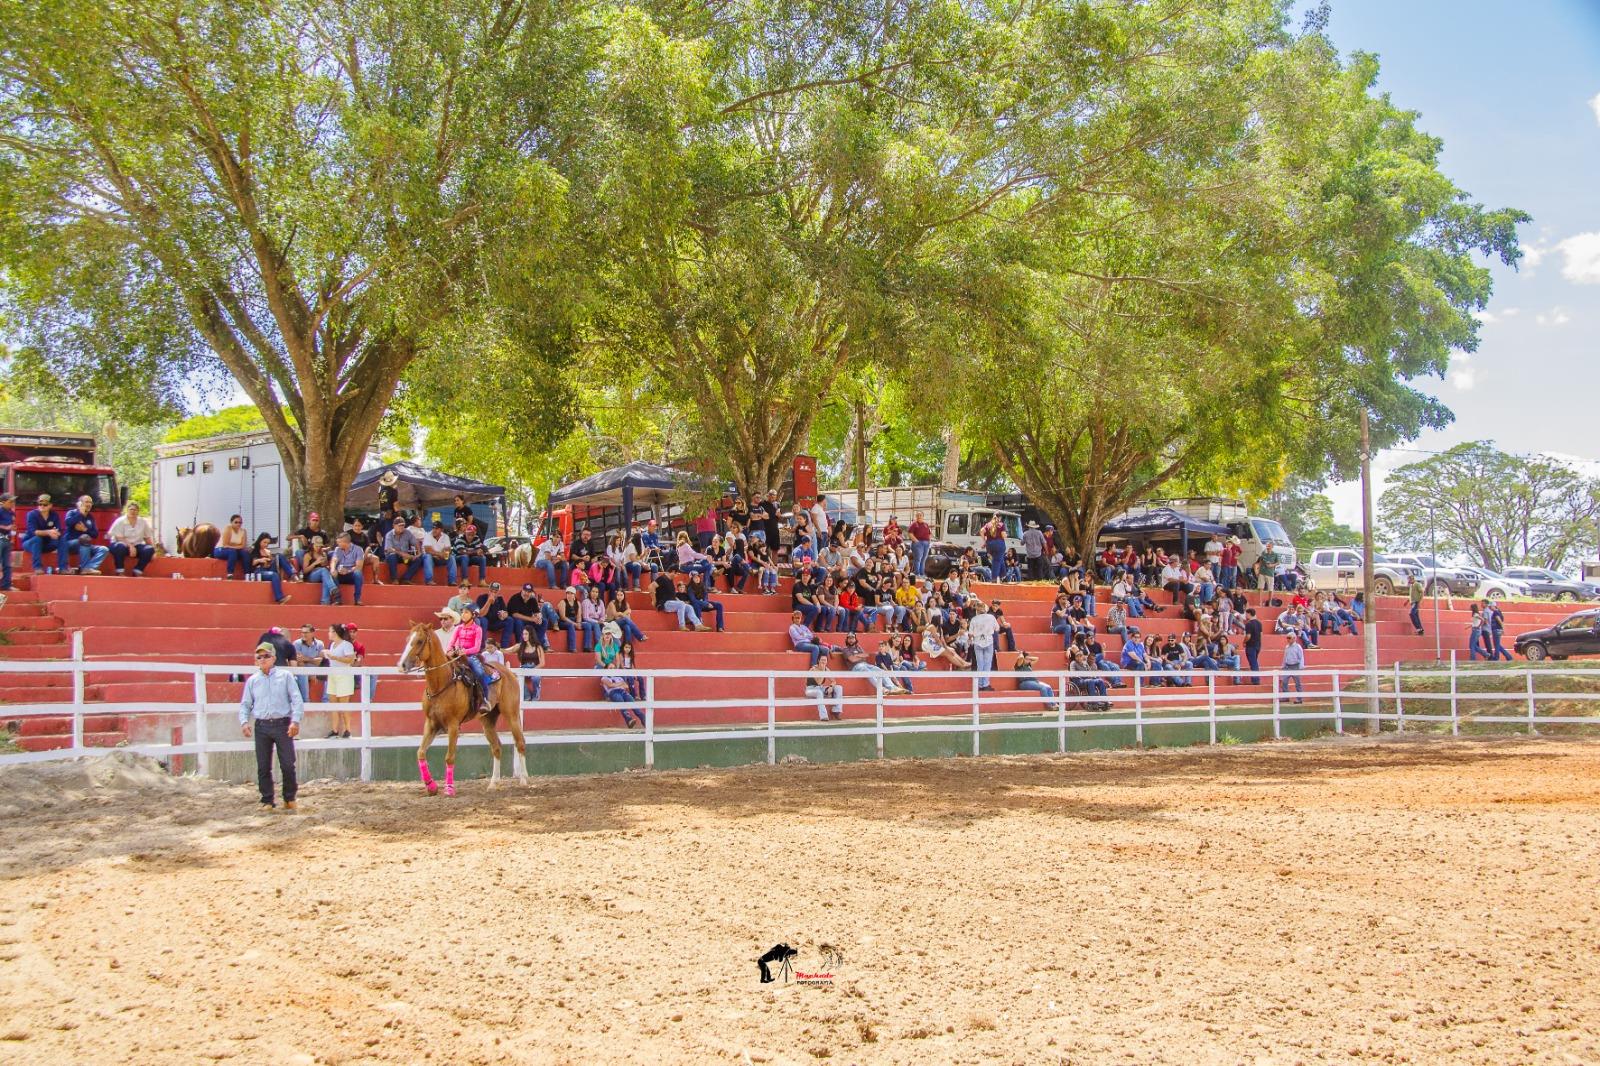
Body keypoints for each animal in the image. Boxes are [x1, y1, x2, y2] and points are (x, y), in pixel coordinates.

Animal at [397, 622, 529, 795]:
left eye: (419, 641)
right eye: (407, 639)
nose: (402, 665)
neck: (441, 682)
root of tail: (508, 672)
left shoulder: (453, 725)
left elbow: (449, 757)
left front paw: (449, 788)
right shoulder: (431, 724)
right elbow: (420, 752)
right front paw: (431, 786)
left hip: (511, 714)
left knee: (520, 743)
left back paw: (524, 780)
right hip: (487, 720)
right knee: (496, 747)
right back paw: (494, 783)